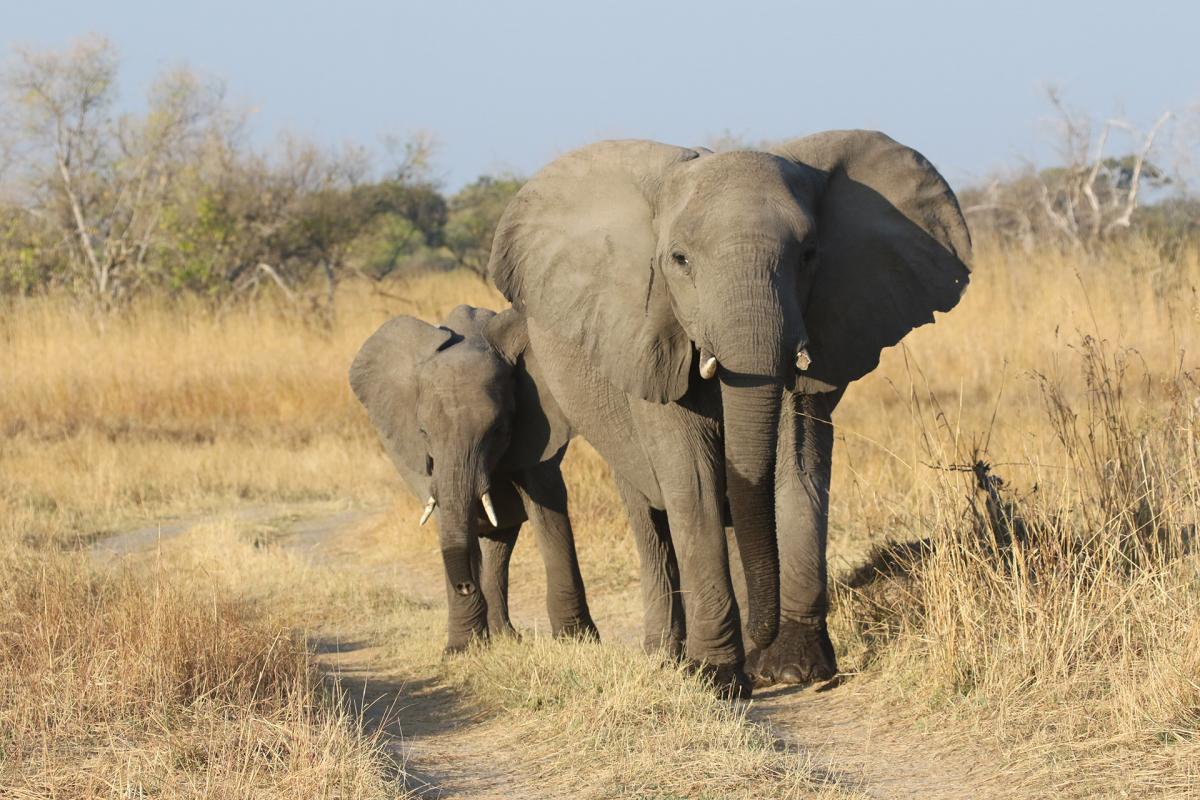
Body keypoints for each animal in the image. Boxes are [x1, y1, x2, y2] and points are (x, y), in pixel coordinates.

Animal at [350, 304, 604, 652]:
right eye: (423, 432)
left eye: (498, 430)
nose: (465, 586)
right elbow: (449, 520)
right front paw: (461, 650)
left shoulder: (537, 428)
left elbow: (548, 509)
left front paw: (578, 641)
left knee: (500, 541)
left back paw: (505, 638)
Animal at [482, 131, 969, 695]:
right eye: (679, 260)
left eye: (809, 254)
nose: (762, 642)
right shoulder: (651, 337)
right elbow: (692, 482)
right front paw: (714, 677)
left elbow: (797, 469)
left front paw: (796, 669)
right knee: (650, 513)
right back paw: (667, 656)